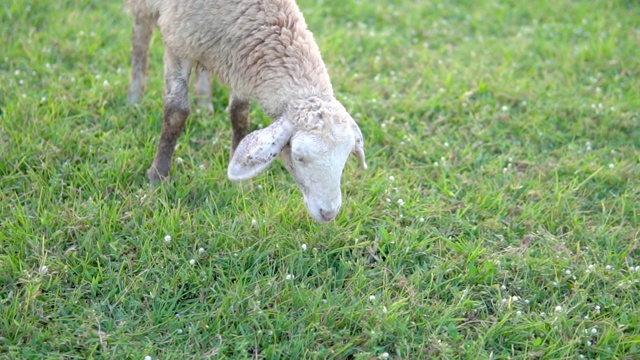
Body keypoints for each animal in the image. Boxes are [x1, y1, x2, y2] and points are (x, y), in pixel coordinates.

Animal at [127, 0, 364, 222]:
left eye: (346, 157)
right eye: (299, 157)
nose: (329, 213)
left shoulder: (237, 62)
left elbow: (239, 114)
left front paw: (242, 185)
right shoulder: (178, 41)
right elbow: (177, 112)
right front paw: (158, 176)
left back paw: (205, 103)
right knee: (140, 38)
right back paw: (134, 98)